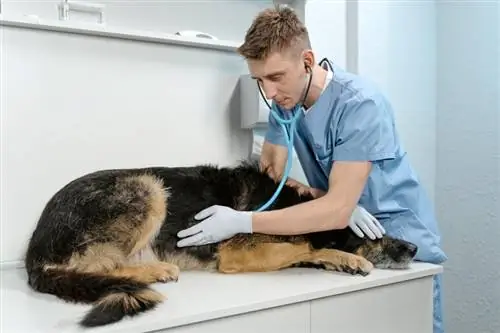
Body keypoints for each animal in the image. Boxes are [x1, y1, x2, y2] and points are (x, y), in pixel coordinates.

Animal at [24, 160, 418, 326]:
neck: (288, 206)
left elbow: (303, 250)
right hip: (147, 187)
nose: (413, 249)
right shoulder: (238, 252)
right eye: (374, 235)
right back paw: (155, 270)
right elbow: (304, 246)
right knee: (96, 265)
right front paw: (347, 257)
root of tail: (34, 253)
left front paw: (337, 259)